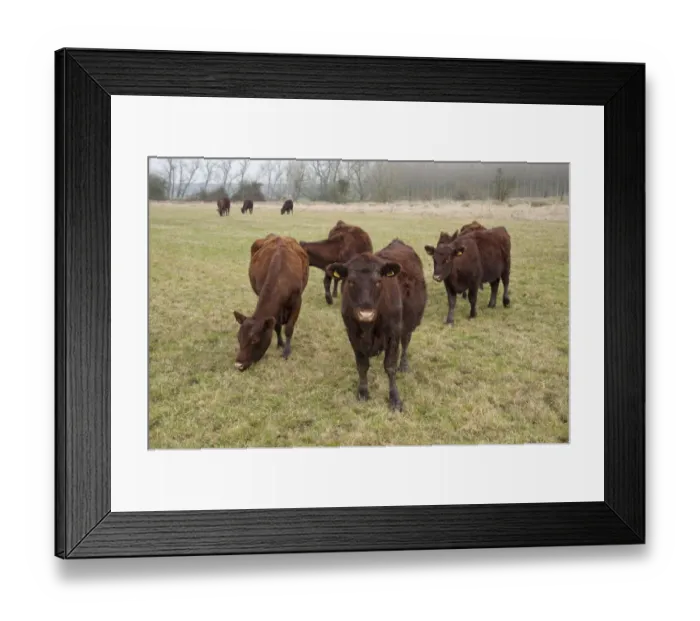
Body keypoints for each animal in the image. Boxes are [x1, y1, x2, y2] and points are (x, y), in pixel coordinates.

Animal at [233, 234, 309, 371]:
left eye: (255, 340)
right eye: (238, 337)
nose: (238, 365)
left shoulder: (297, 301)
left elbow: (289, 328)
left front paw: (286, 352)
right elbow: (276, 326)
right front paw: (280, 343)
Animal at [325, 239, 427, 412]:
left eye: (379, 282)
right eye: (351, 282)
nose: (366, 314)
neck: (369, 328)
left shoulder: (393, 333)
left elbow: (390, 367)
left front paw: (395, 399)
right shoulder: (352, 334)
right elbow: (362, 365)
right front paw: (363, 392)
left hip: (409, 323)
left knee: (406, 343)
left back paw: (404, 365)